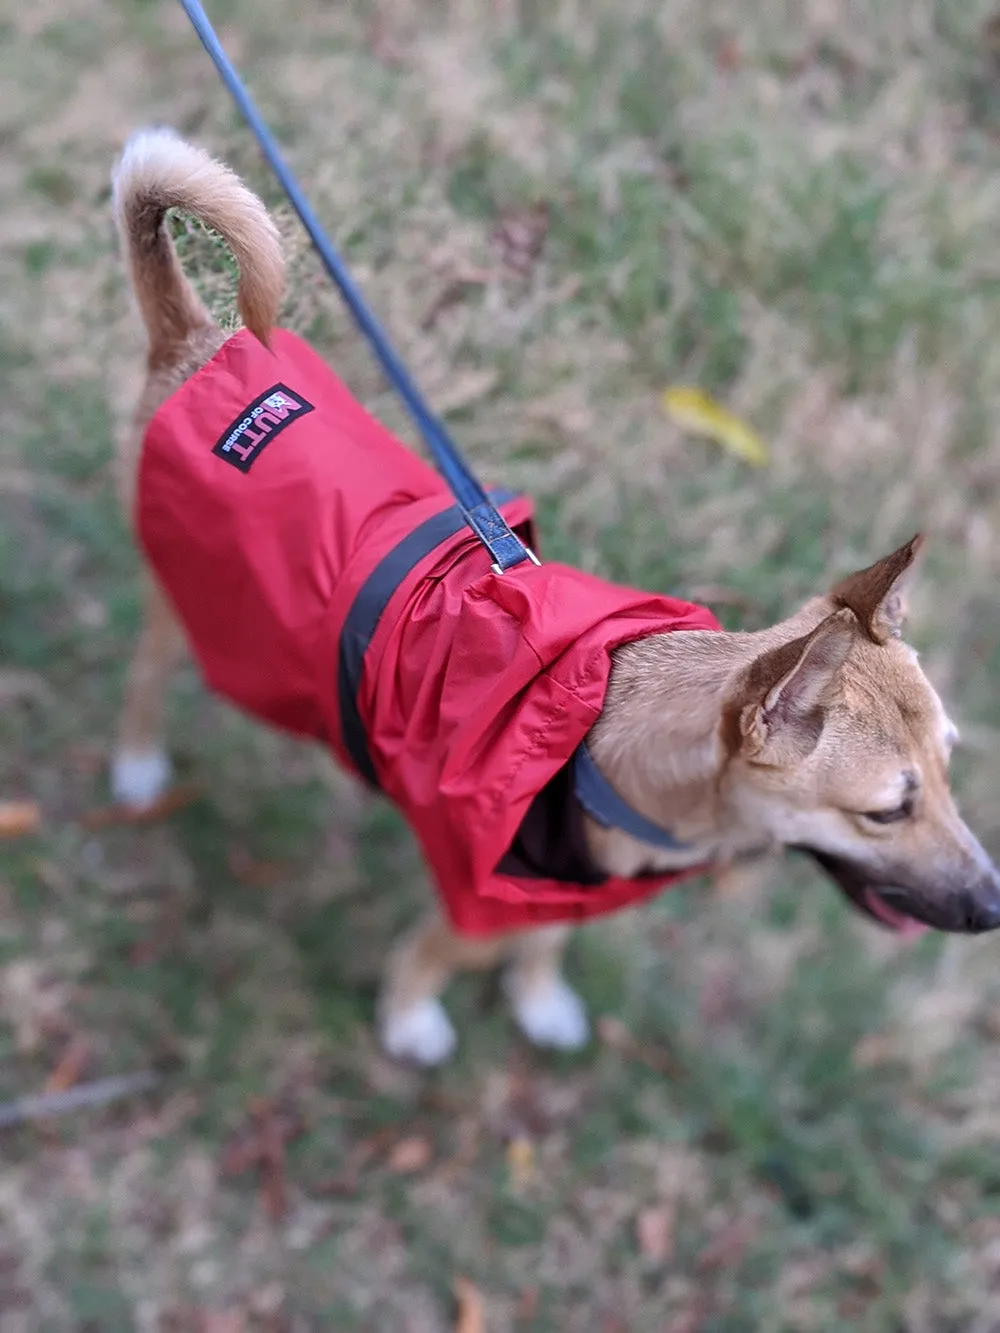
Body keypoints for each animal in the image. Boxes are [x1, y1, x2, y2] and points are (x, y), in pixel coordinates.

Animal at [109, 129, 1000, 1066]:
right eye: (884, 811)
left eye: (950, 766)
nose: (992, 909)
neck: (614, 760)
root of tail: (195, 343)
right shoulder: (481, 891)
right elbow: (444, 950)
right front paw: (410, 1016)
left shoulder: (574, 888)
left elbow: (550, 940)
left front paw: (537, 998)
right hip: (202, 598)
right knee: (149, 667)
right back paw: (136, 761)